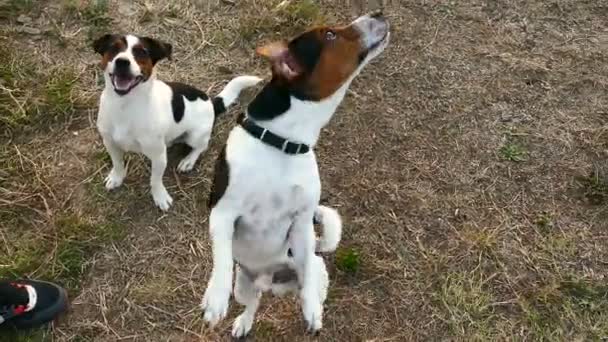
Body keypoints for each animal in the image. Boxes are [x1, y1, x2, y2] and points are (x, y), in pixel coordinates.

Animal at [92, 34, 262, 211]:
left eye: (142, 52)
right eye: (113, 48)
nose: (122, 62)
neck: (125, 106)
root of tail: (211, 102)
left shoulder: (159, 156)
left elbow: (155, 180)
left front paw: (160, 196)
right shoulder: (110, 143)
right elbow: (117, 163)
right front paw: (117, 178)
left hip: (195, 136)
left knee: (202, 146)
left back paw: (188, 161)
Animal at [200, 12, 390, 338]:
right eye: (330, 35)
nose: (378, 14)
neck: (282, 144)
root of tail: (268, 281)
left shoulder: (301, 222)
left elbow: (307, 278)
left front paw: (311, 310)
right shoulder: (223, 212)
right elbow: (222, 259)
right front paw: (215, 298)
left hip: (312, 270)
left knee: (305, 280)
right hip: (244, 285)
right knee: (252, 302)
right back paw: (243, 322)